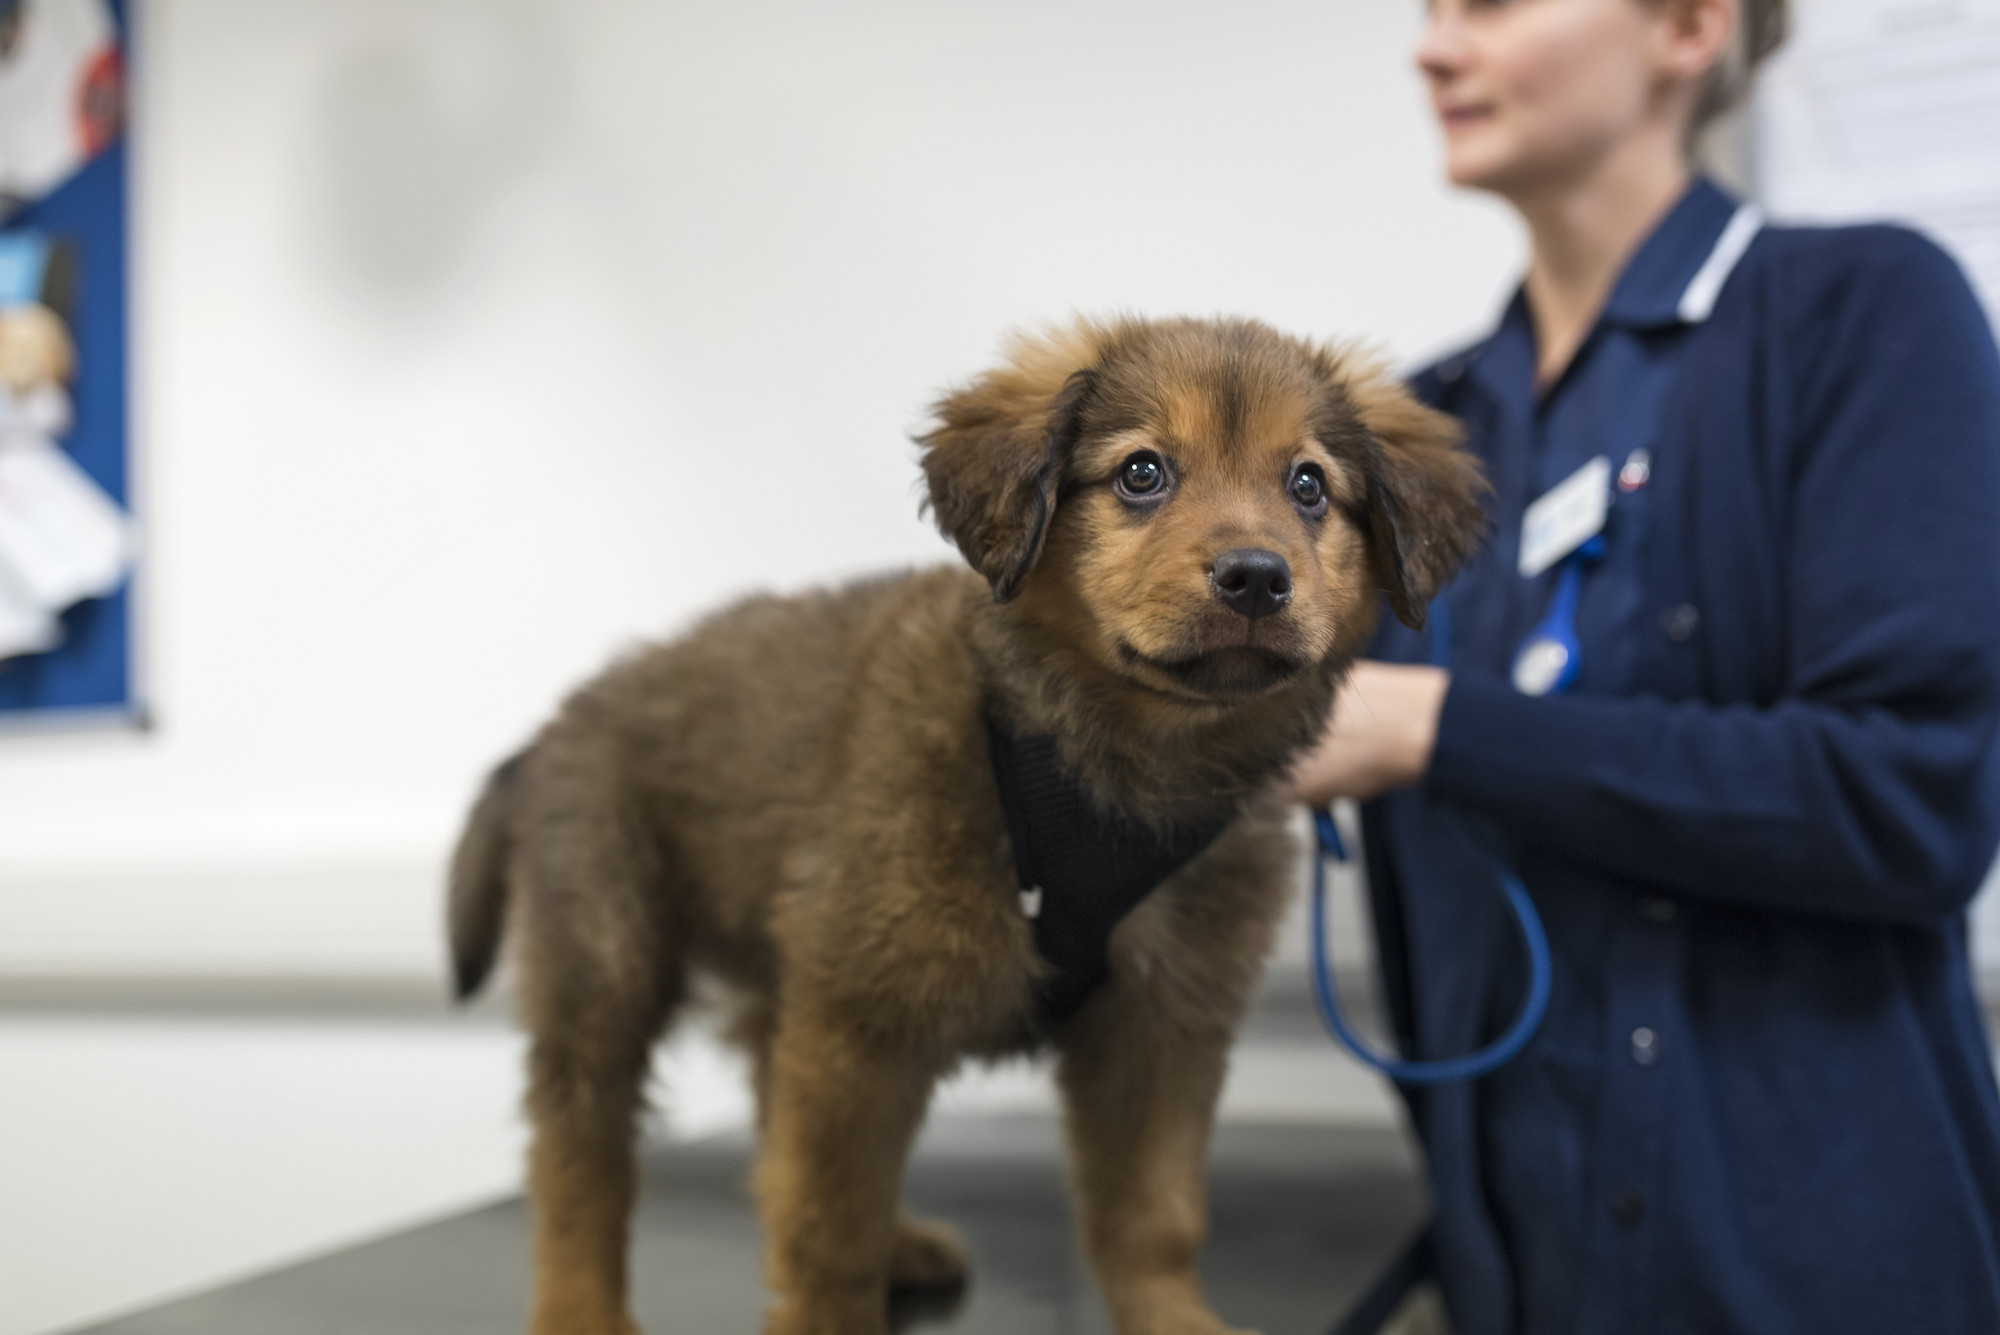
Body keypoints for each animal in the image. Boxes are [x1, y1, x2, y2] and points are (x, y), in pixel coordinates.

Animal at [450, 317, 1488, 1335]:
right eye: (1142, 472)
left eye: (1308, 485)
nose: (1257, 578)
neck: (1120, 766)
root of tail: (558, 725)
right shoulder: (860, 1025)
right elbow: (827, 1229)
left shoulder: (1163, 1025)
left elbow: (1152, 1218)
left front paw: (1173, 1319)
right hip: (606, 960)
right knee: (579, 1156)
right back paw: (581, 1305)